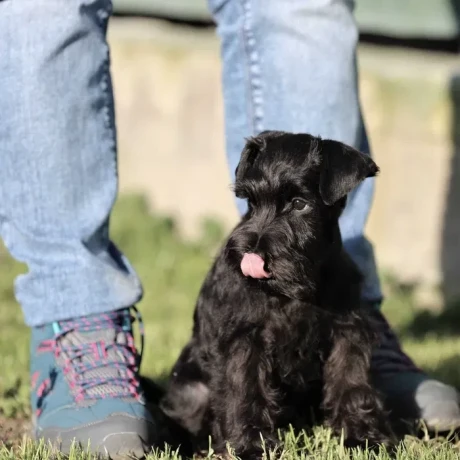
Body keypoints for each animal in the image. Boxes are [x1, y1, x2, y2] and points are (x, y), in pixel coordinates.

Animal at [161, 131, 392, 458]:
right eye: (251, 202)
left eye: (299, 203)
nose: (250, 253)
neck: (299, 286)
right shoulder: (244, 339)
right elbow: (244, 391)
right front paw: (250, 447)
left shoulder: (348, 332)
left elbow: (351, 382)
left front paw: (362, 438)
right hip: (192, 391)